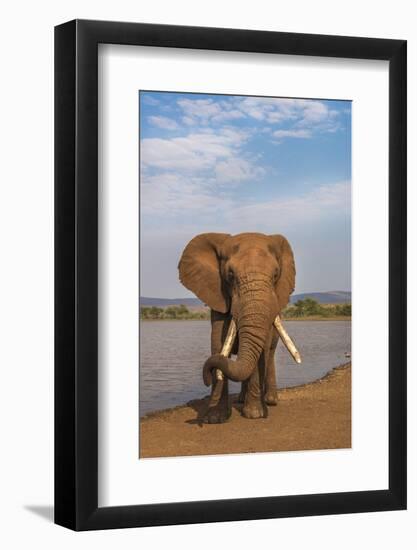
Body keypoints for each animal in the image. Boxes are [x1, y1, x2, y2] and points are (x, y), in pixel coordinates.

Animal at [177, 231, 298, 424]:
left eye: (275, 275)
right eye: (230, 275)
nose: (207, 378)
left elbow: (261, 351)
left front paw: (254, 414)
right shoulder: (218, 297)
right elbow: (218, 343)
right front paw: (215, 418)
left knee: (270, 354)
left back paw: (270, 401)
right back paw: (241, 399)